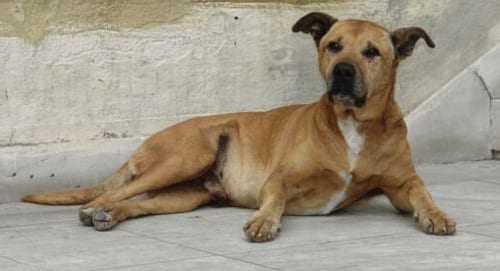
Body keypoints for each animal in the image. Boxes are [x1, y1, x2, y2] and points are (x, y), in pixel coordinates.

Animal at [21, 12, 456, 242]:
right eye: (333, 46)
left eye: (372, 52)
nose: (343, 73)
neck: (353, 123)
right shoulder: (279, 179)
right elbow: (274, 198)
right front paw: (263, 220)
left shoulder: (400, 185)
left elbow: (421, 192)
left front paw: (436, 213)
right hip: (188, 155)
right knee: (112, 192)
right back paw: (95, 209)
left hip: (184, 195)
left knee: (134, 202)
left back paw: (109, 214)